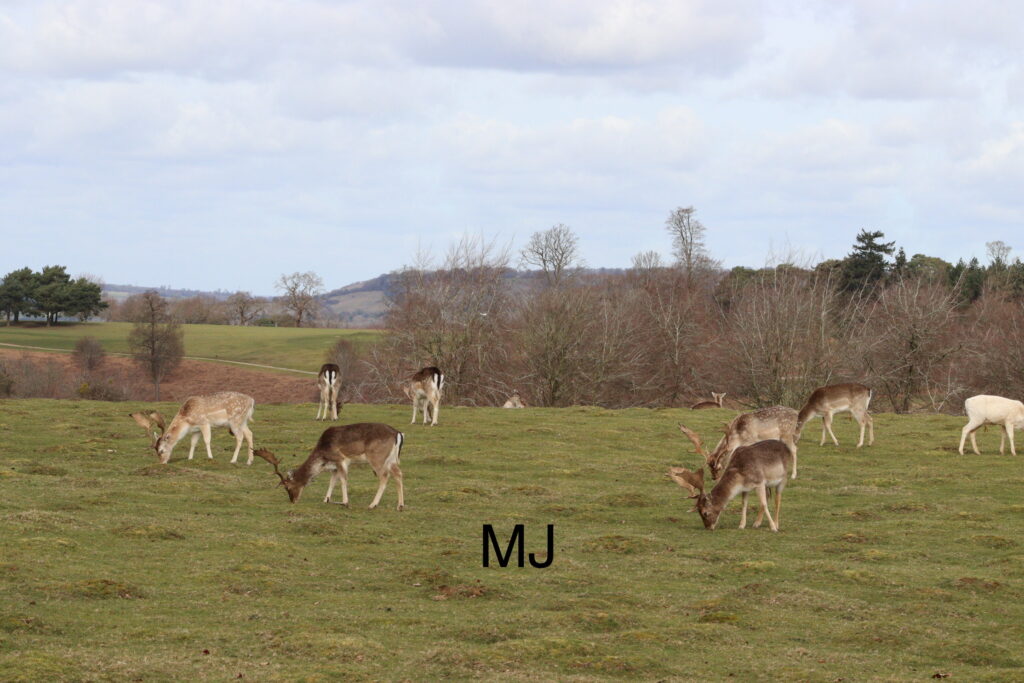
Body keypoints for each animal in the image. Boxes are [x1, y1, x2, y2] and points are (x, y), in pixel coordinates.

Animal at [254, 422, 405, 510]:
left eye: (288, 487)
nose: (293, 500)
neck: (323, 458)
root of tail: (398, 433)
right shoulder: (334, 467)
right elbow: (332, 481)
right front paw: (326, 499)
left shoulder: (341, 460)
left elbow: (343, 480)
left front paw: (345, 502)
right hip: (391, 459)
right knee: (398, 473)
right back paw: (400, 505)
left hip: (377, 457)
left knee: (384, 476)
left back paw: (373, 504)